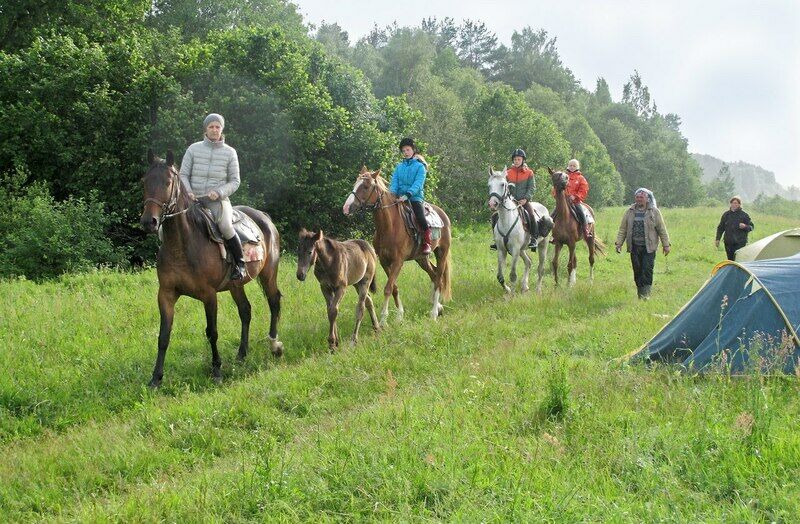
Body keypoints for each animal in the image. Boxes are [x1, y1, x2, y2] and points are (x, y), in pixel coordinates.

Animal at [141, 149, 284, 386]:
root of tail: (264, 218)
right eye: (144, 181)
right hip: (237, 285)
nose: (148, 222)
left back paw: (275, 345)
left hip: (268, 274)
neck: (182, 246)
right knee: (245, 311)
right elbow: (163, 335)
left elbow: (212, 332)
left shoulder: (209, 296)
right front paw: (156, 378)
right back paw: (242, 354)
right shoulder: (166, 294)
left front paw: (216, 370)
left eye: (168, 182)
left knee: (274, 302)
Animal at [340, 168, 450, 324]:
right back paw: (438, 307)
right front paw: (399, 315)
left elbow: (388, 288)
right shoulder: (385, 262)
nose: (346, 207)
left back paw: (434, 312)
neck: (390, 227)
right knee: (434, 276)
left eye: (366, 186)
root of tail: (443, 215)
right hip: (421, 258)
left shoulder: (398, 262)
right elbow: (394, 288)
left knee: (439, 279)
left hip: (442, 253)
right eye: (355, 184)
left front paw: (383, 319)